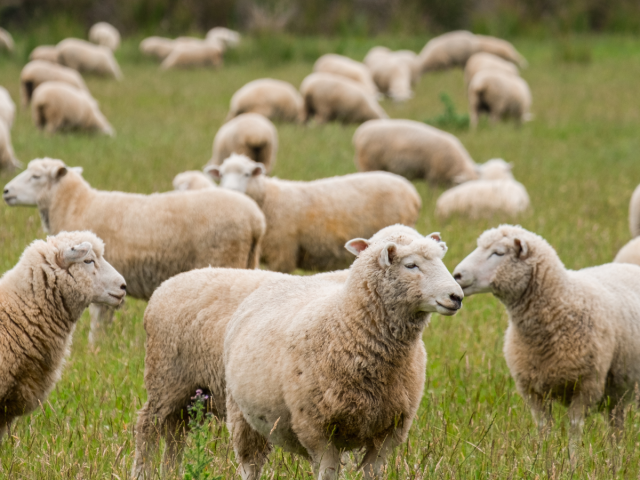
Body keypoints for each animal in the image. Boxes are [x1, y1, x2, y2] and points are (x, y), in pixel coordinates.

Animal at [3, 158, 266, 342]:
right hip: (247, 262)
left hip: (225, 258)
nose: (5, 191)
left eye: (36, 176)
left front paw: (94, 347)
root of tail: (255, 220)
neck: (75, 205)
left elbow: (98, 319)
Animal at [131, 224, 422, 478]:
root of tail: (166, 286)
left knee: (176, 433)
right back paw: (142, 472)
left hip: (193, 392)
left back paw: (170, 472)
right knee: (147, 426)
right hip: (168, 379)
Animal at [206, 154, 421, 273]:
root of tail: (412, 192)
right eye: (221, 175)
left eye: (247, 174)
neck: (267, 200)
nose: (230, 190)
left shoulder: (282, 254)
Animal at [224, 230, 463, 480]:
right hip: (241, 417)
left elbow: (372, 472)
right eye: (411, 265)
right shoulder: (317, 430)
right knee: (250, 465)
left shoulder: (390, 430)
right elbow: (328, 473)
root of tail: (283, 278)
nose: (457, 297)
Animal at [453, 225, 640, 458]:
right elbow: (544, 429)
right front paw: (542, 459)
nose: (457, 275)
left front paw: (572, 462)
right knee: (617, 426)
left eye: (498, 253)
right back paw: (616, 456)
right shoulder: (533, 390)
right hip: (618, 390)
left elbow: (574, 431)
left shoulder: (586, 386)